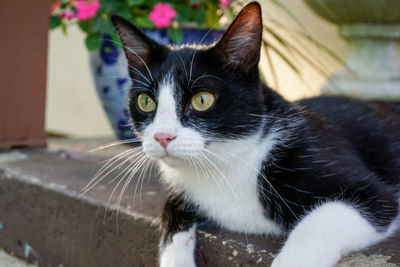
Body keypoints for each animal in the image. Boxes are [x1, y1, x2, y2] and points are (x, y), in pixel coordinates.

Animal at [110, 2, 400, 267]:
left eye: (202, 100)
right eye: (146, 101)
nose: (162, 137)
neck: (229, 162)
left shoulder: (368, 192)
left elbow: (324, 222)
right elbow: (171, 223)